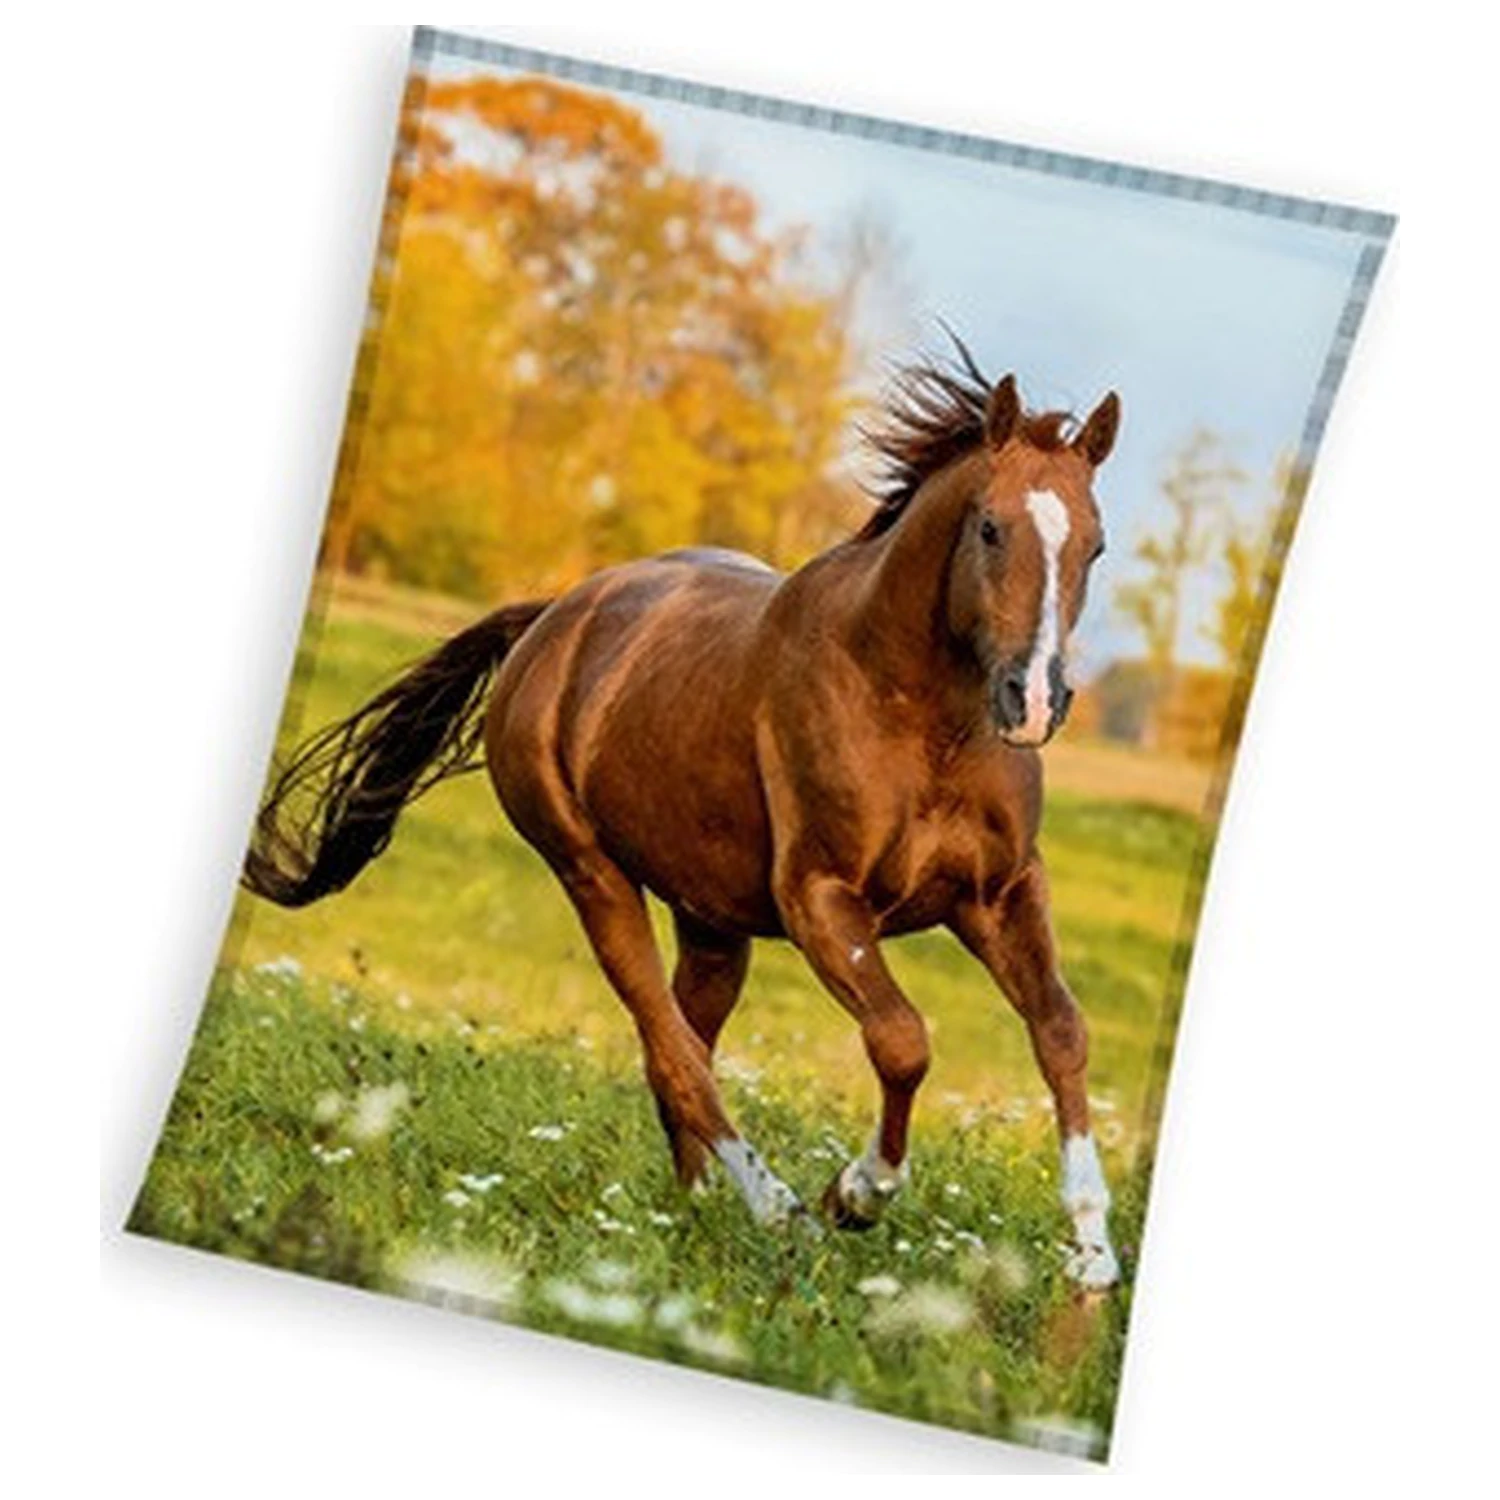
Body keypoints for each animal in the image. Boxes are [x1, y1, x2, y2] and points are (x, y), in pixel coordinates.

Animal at [244, 346, 1124, 1288]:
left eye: (1096, 544)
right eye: (991, 529)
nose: (1034, 702)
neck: (921, 717)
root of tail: (553, 618)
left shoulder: (1000, 895)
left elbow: (1061, 1030)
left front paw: (1093, 1255)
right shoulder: (822, 900)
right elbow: (902, 1041)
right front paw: (853, 1194)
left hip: (712, 925)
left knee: (681, 1046)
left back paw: (697, 1205)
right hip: (593, 878)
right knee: (674, 1050)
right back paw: (778, 1212)